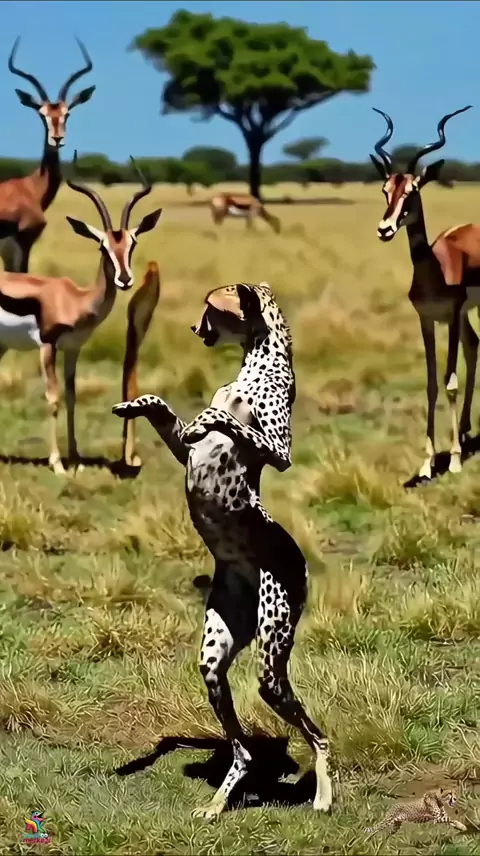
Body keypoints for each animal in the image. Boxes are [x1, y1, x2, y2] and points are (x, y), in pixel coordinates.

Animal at [0, 157, 162, 475]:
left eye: (132, 243)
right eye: (103, 246)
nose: (125, 279)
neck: (75, 299)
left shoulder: (73, 348)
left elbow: (72, 396)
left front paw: (75, 458)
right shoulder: (47, 346)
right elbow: (53, 399)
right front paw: (57, 464)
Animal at [371, 105, 480, 481]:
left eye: (413, 190)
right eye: (386, 190)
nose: (385, 229)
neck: (436, 269)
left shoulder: (451, 316)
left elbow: (450, 382)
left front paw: (456, 460)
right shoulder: (428, 320)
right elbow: (433, 383)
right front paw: (427, 462)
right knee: (474, 345)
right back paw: (465, 430)